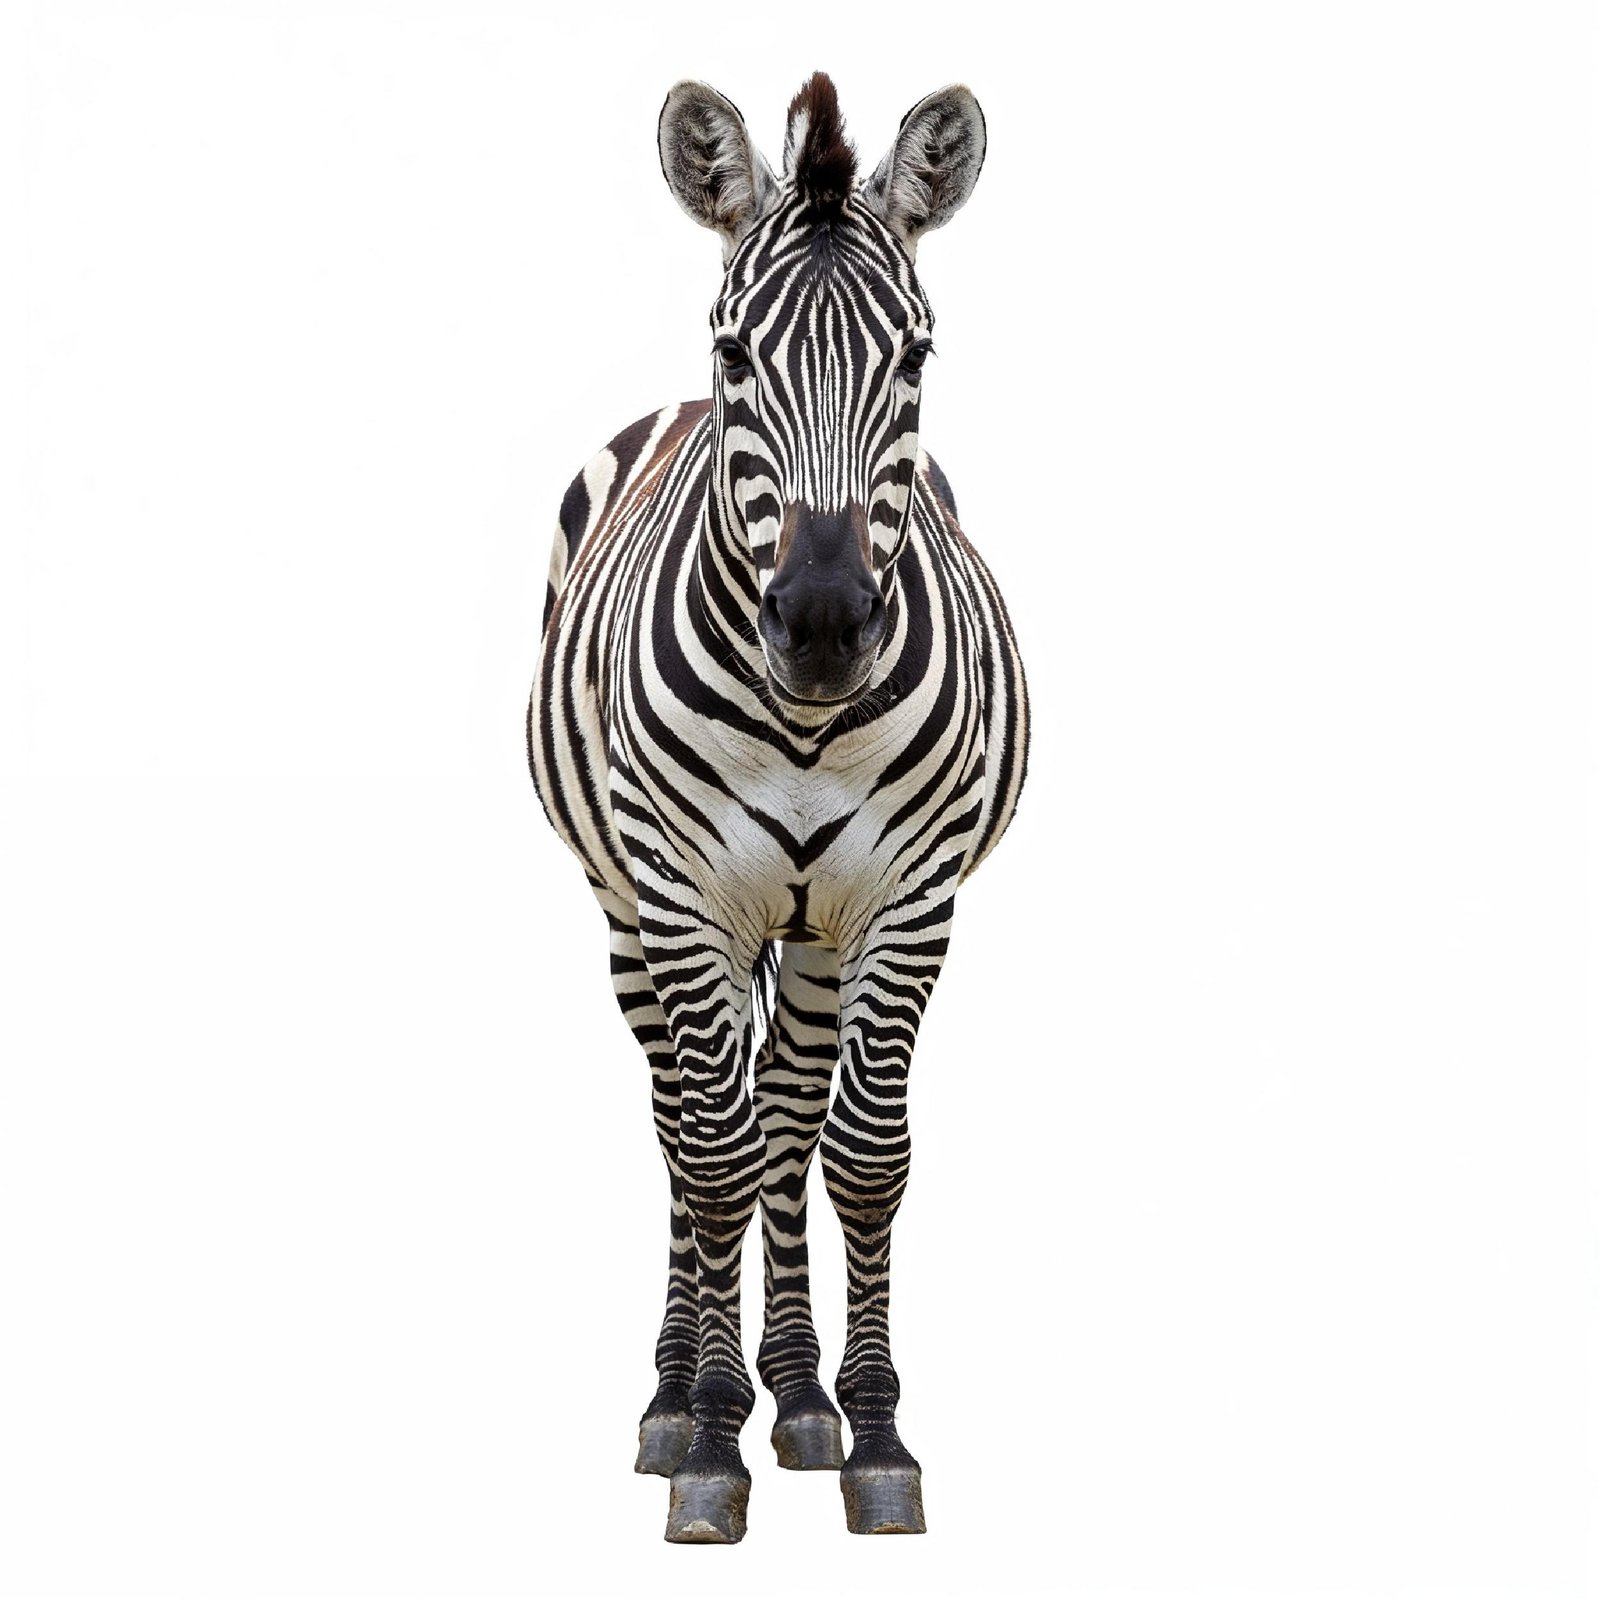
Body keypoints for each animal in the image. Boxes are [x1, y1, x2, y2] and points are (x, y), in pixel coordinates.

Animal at [528, 71, 1029, 1543]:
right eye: (735, 354)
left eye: (915, 359)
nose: (818, 625)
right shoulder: (685, 903)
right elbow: (709, 1154)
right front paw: (705, 1437)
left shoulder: (910, 902)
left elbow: (856, 1153)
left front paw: (873, 1434)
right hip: (628, 912)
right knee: (686, 1132)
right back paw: (677, 1390)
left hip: (811, 929)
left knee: (789, 1124)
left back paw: (796, 1396)